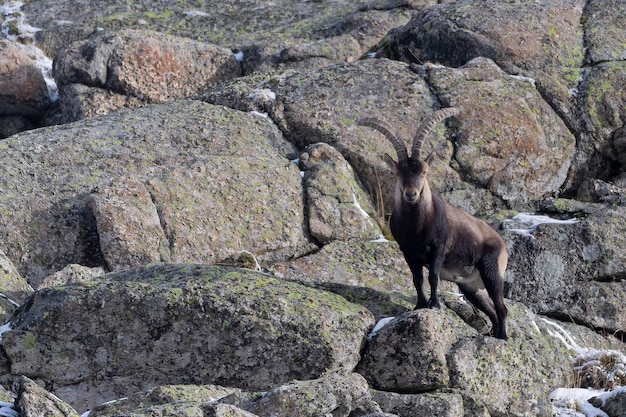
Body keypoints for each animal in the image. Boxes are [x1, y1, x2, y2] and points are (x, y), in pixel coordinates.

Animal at [356, 109, 508, 340]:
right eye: (398, 173)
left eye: (424, 172)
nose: (411, 194)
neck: (416, 226)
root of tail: (503, 245)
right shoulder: (408, 253)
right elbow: (417, 279)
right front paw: (419, 305)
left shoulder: (438, 248)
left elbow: (433, 277)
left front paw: (434, 304)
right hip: (471, 287)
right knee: (491, 310)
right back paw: (496, 336)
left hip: (492, 273)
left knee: (501, 308)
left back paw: (504, 338)